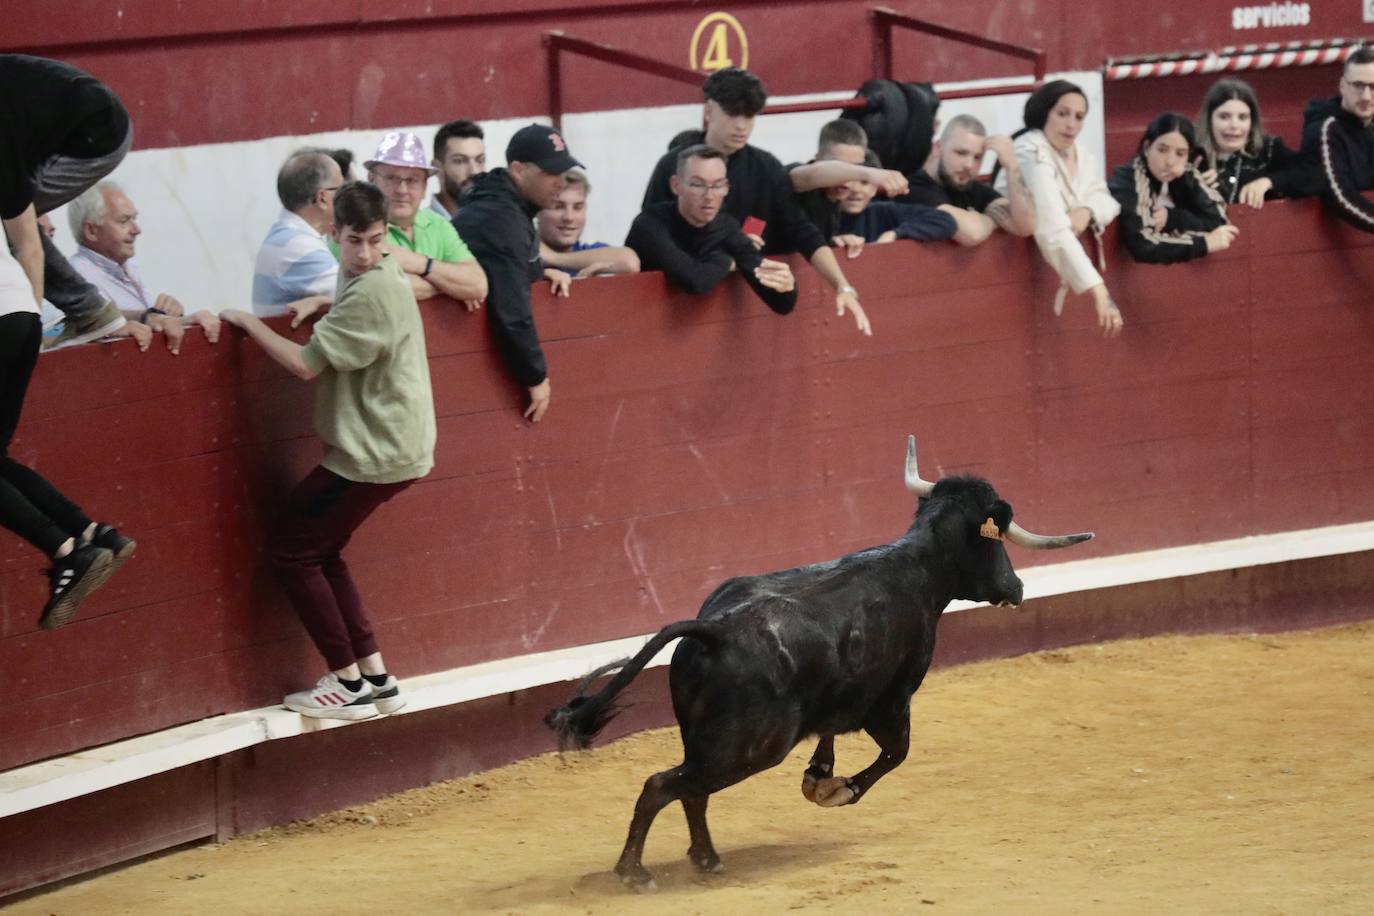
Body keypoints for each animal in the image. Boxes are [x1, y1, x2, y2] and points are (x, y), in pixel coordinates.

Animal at [546, 436, 1093, 889]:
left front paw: (819, 773)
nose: (1016, 587)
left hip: (708, 741)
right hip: (749, 749)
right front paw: (835, 789)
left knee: (691, 790)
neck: (917, 566)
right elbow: (898, 753)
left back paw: (707, 859)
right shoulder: (893, 701)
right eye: (996, 542)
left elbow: (832, 732)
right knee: (663, 785)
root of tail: (716, 629)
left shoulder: (840, 697)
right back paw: (634, 872)